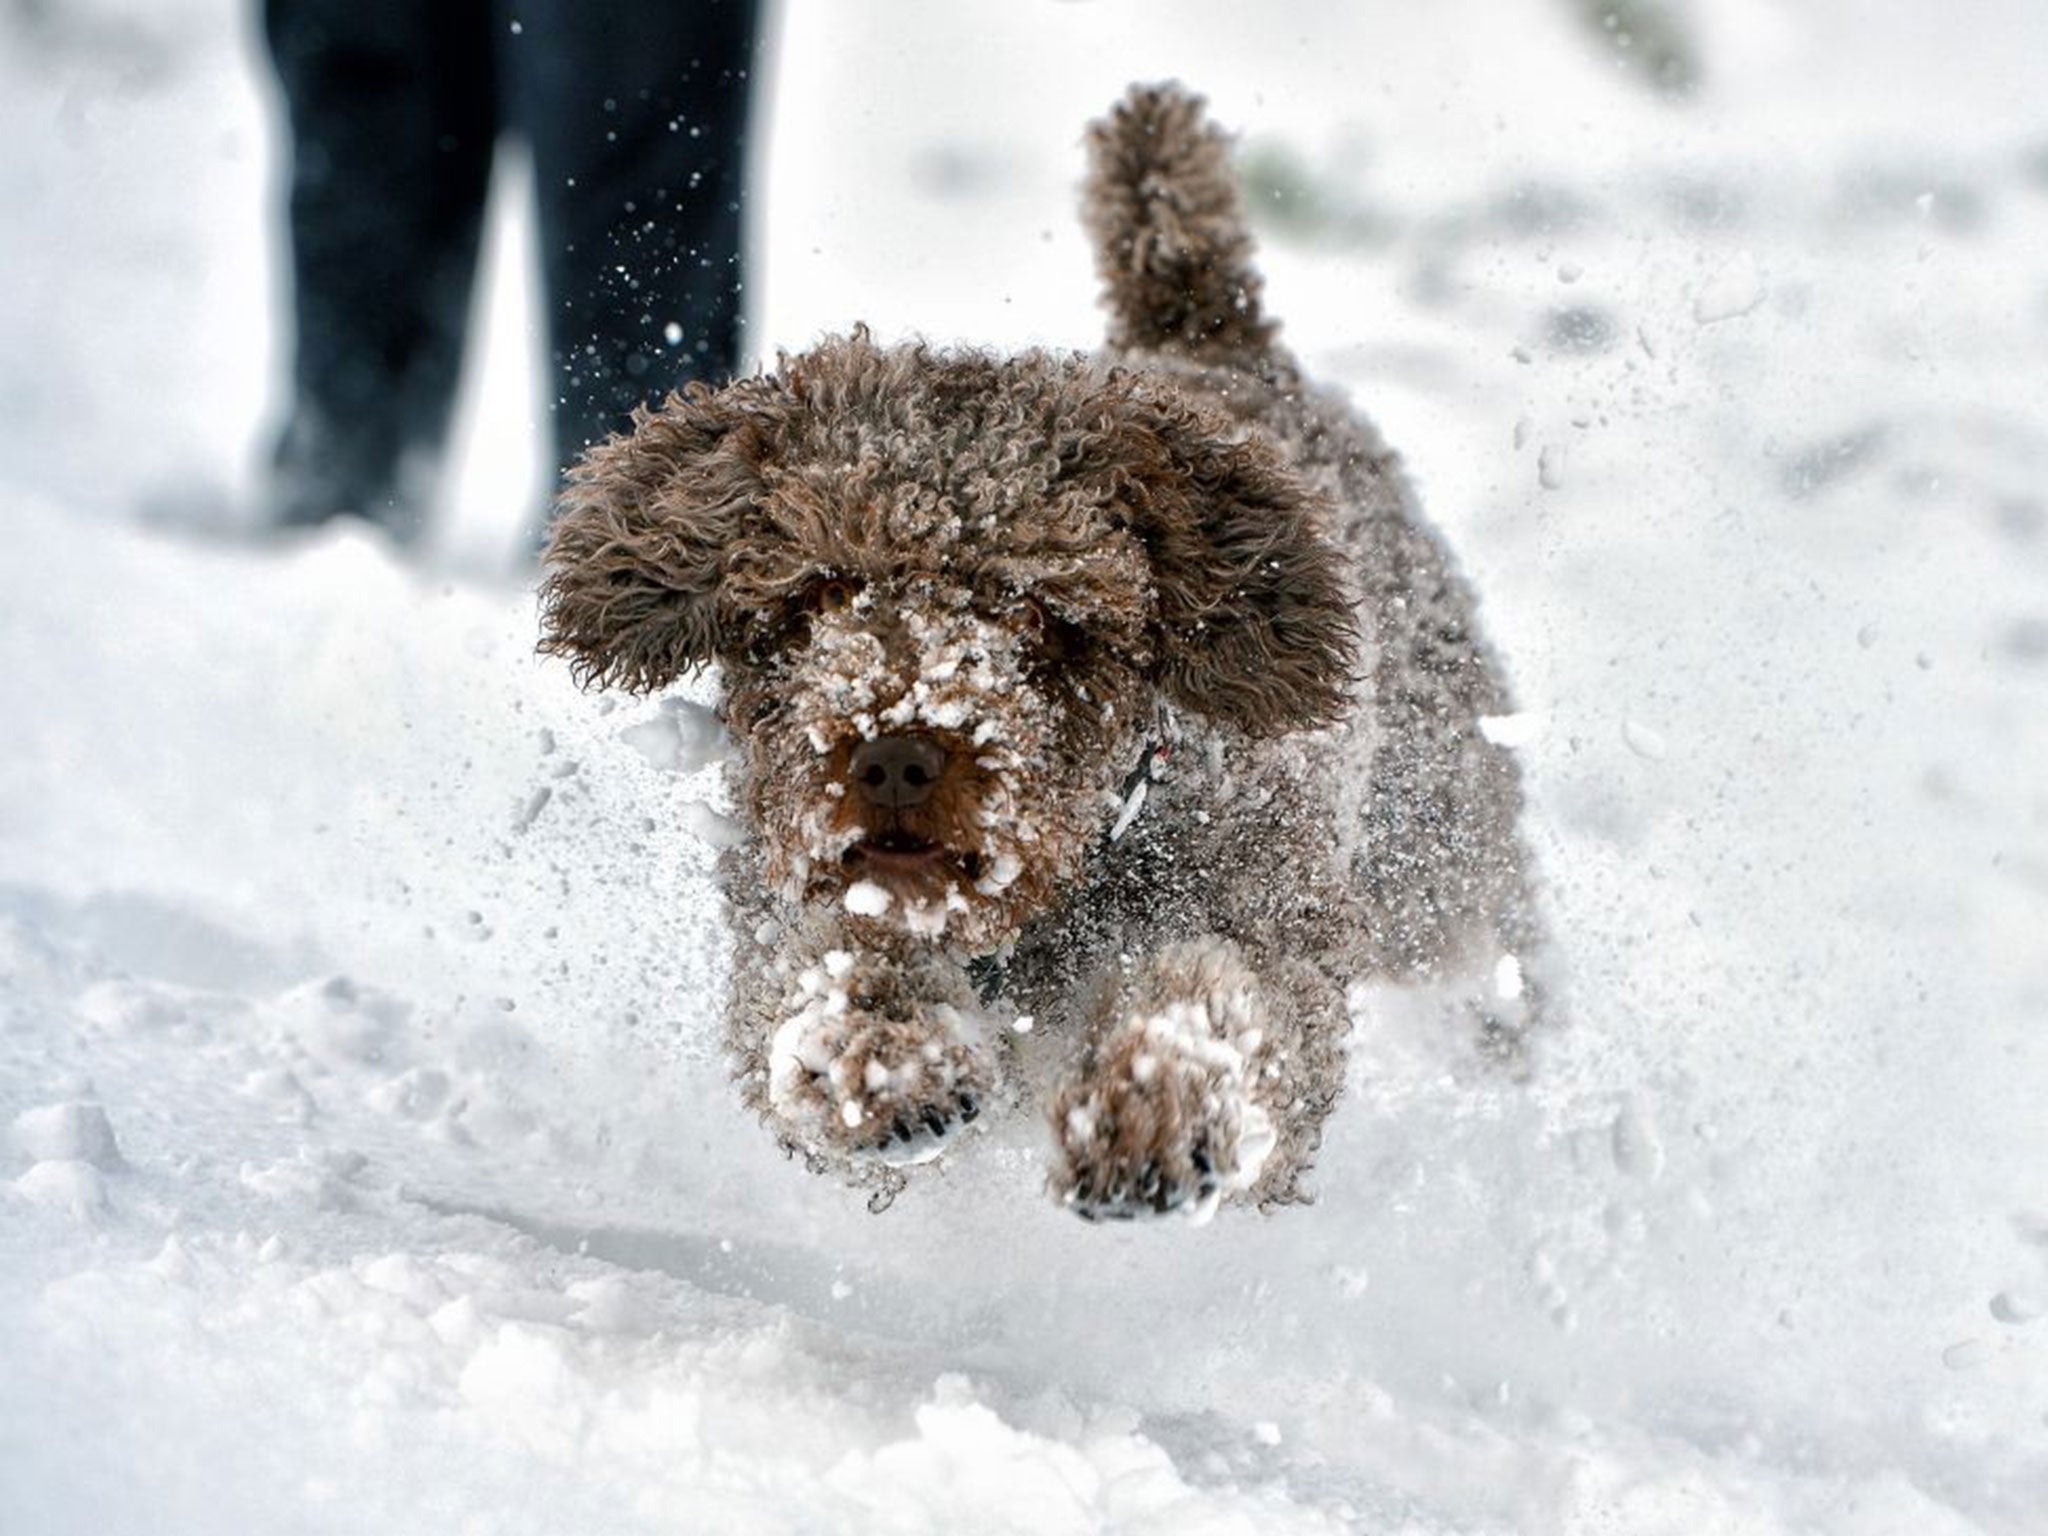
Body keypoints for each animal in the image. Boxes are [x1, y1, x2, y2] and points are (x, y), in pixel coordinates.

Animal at [536, 87, 1540, 1228]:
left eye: (1043, 611)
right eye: (816, 594)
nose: (895, 755)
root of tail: (1215, 339)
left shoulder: (1270, 913)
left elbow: (1229, 1005)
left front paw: (1154, 1107)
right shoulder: (789, 906)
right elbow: (822, 982)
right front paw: (886, 1058)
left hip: (1434, 841)